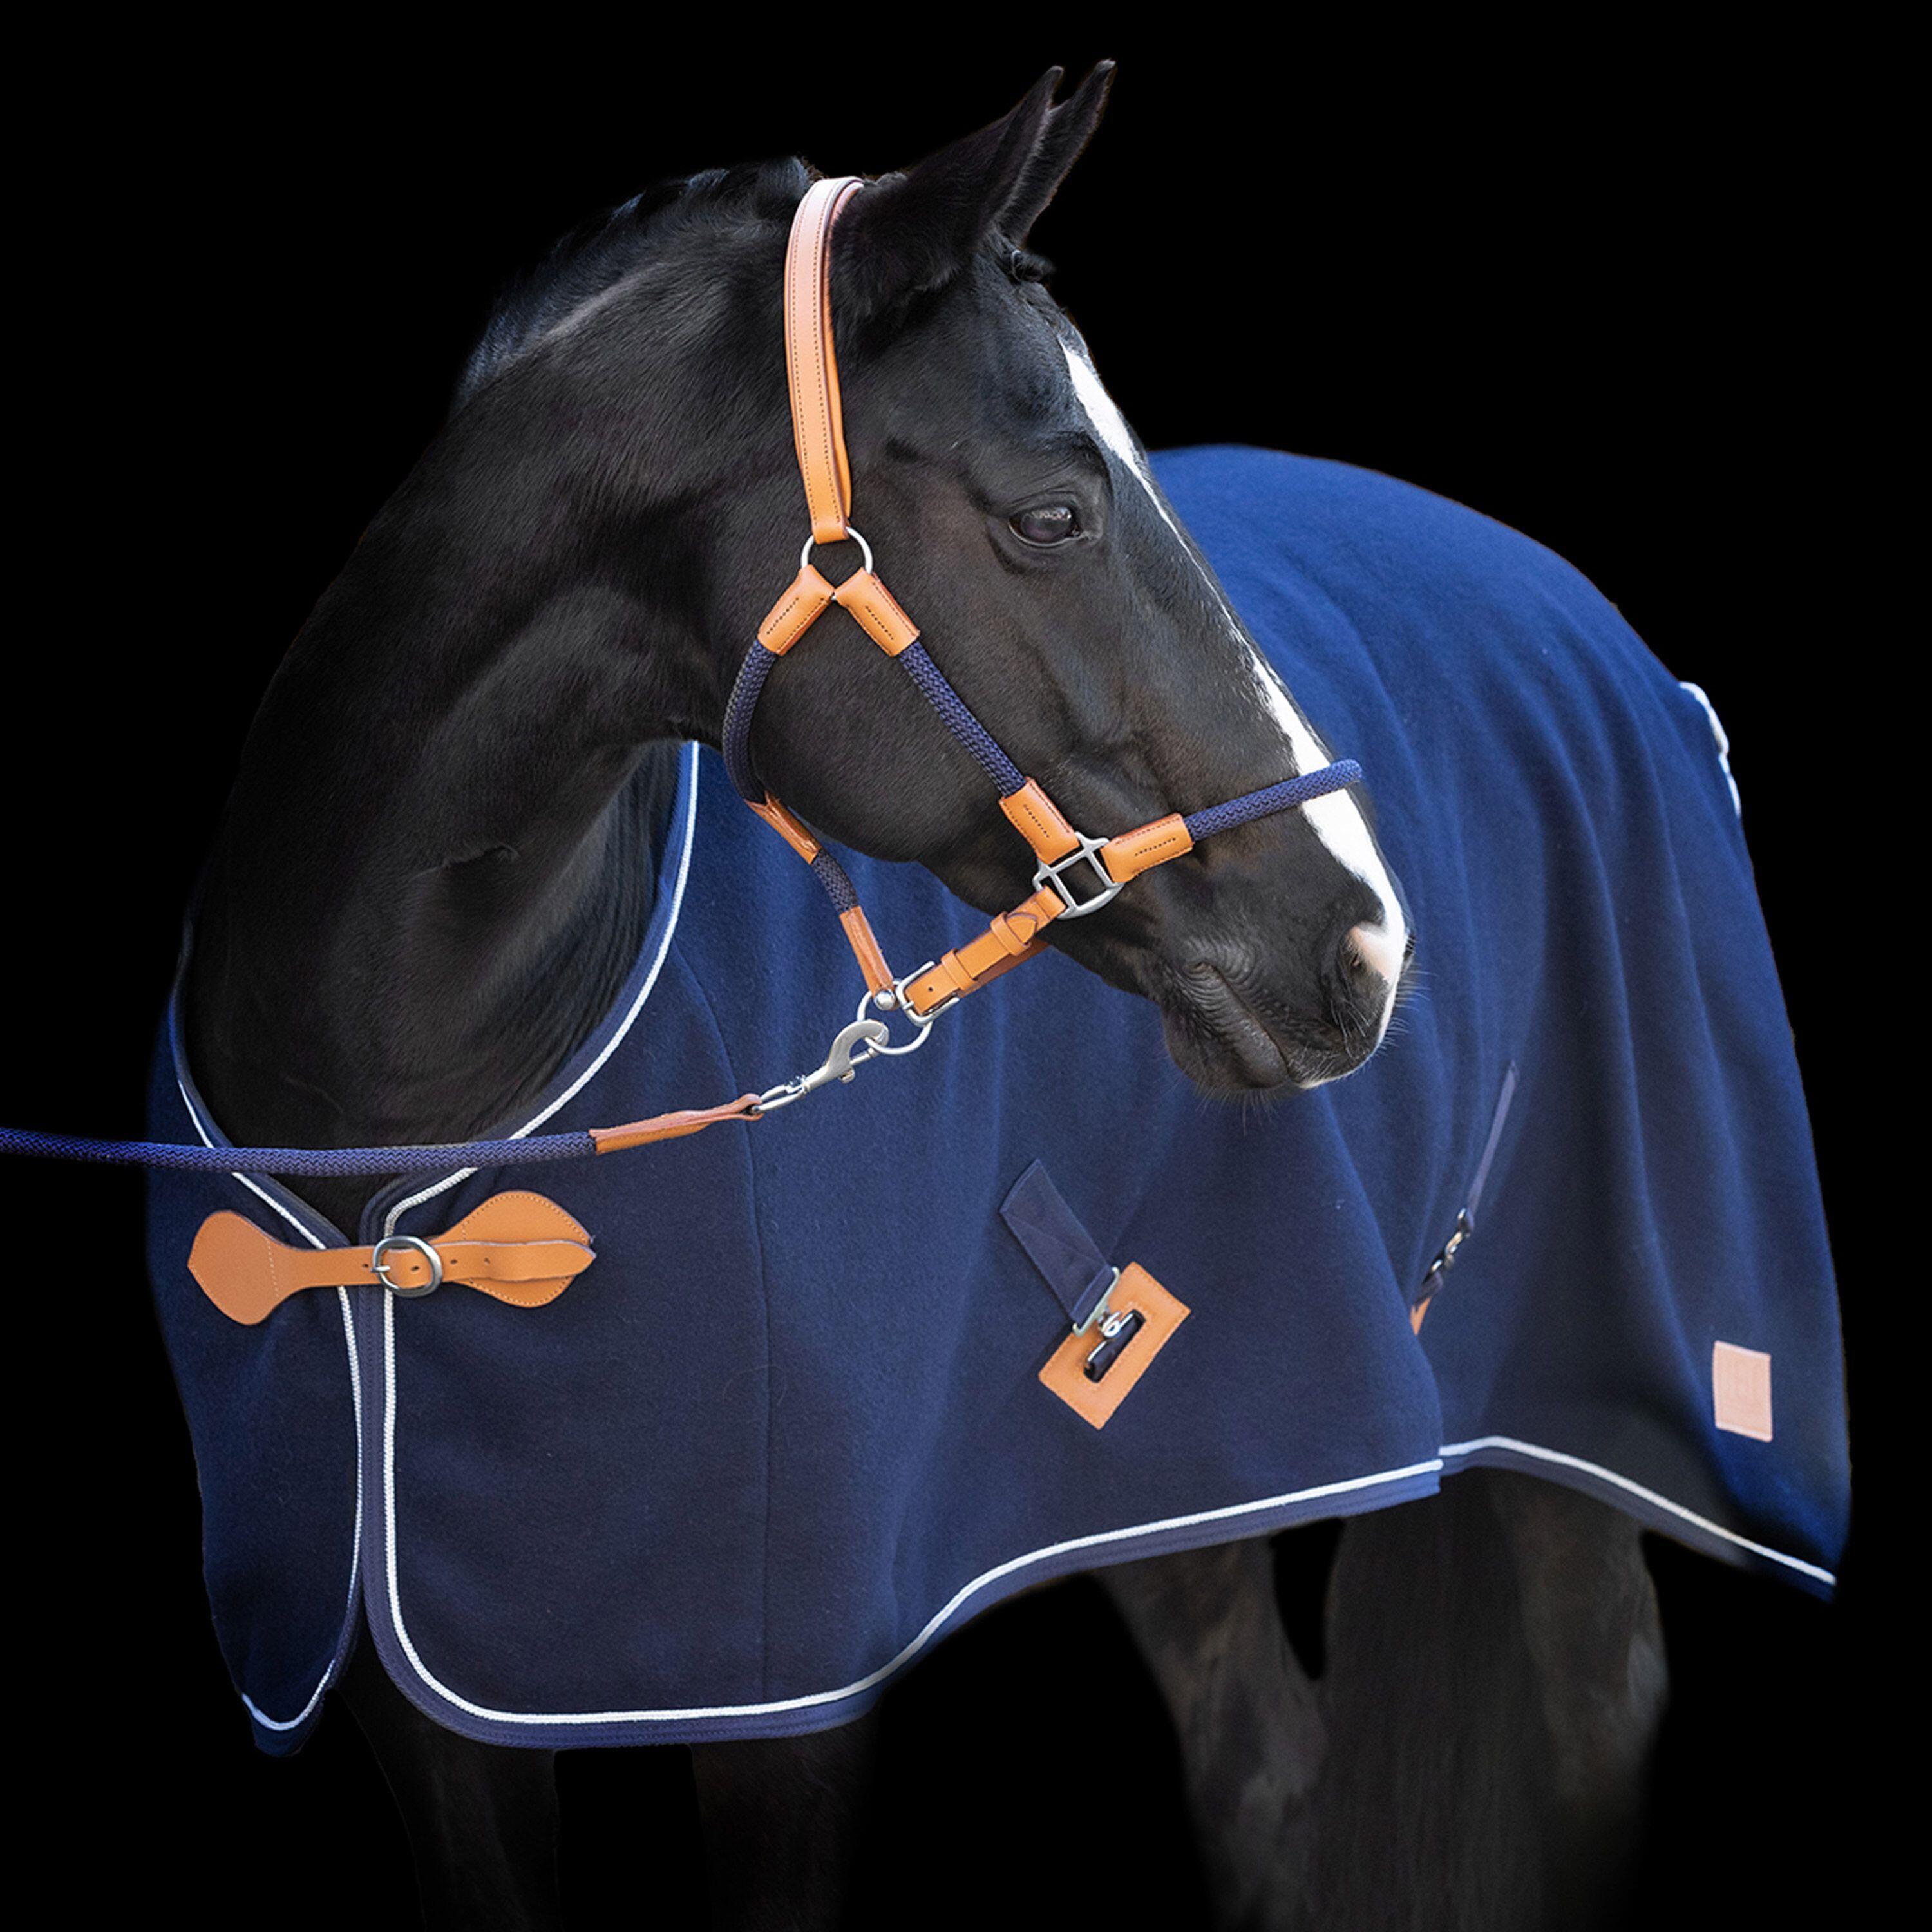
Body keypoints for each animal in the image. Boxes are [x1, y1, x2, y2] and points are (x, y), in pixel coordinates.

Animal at [138, 66, 1845, 1931]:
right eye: (1051, 513)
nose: (1364, 941)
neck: (407, 1121)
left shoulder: (790, 1698)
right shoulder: (404, 1695)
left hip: (1577, 1384)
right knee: (1269, 1764)